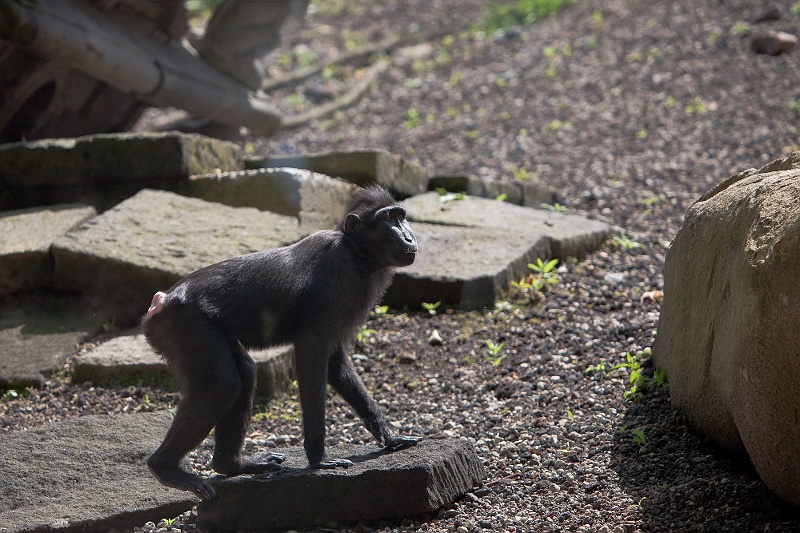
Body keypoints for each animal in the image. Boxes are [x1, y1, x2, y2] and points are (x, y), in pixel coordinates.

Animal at [141, 185, 422, 500]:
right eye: (390, 219)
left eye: (401, 216)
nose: (409, 236)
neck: (355, 252)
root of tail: (161, 303)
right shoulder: (336, 280)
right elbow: (312, 352)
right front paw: (318, 460)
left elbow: (336, 363)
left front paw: (389, 437)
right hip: (187, 326)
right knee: (221, 387)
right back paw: (165, 467)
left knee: (243, 375)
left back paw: (232, 465)